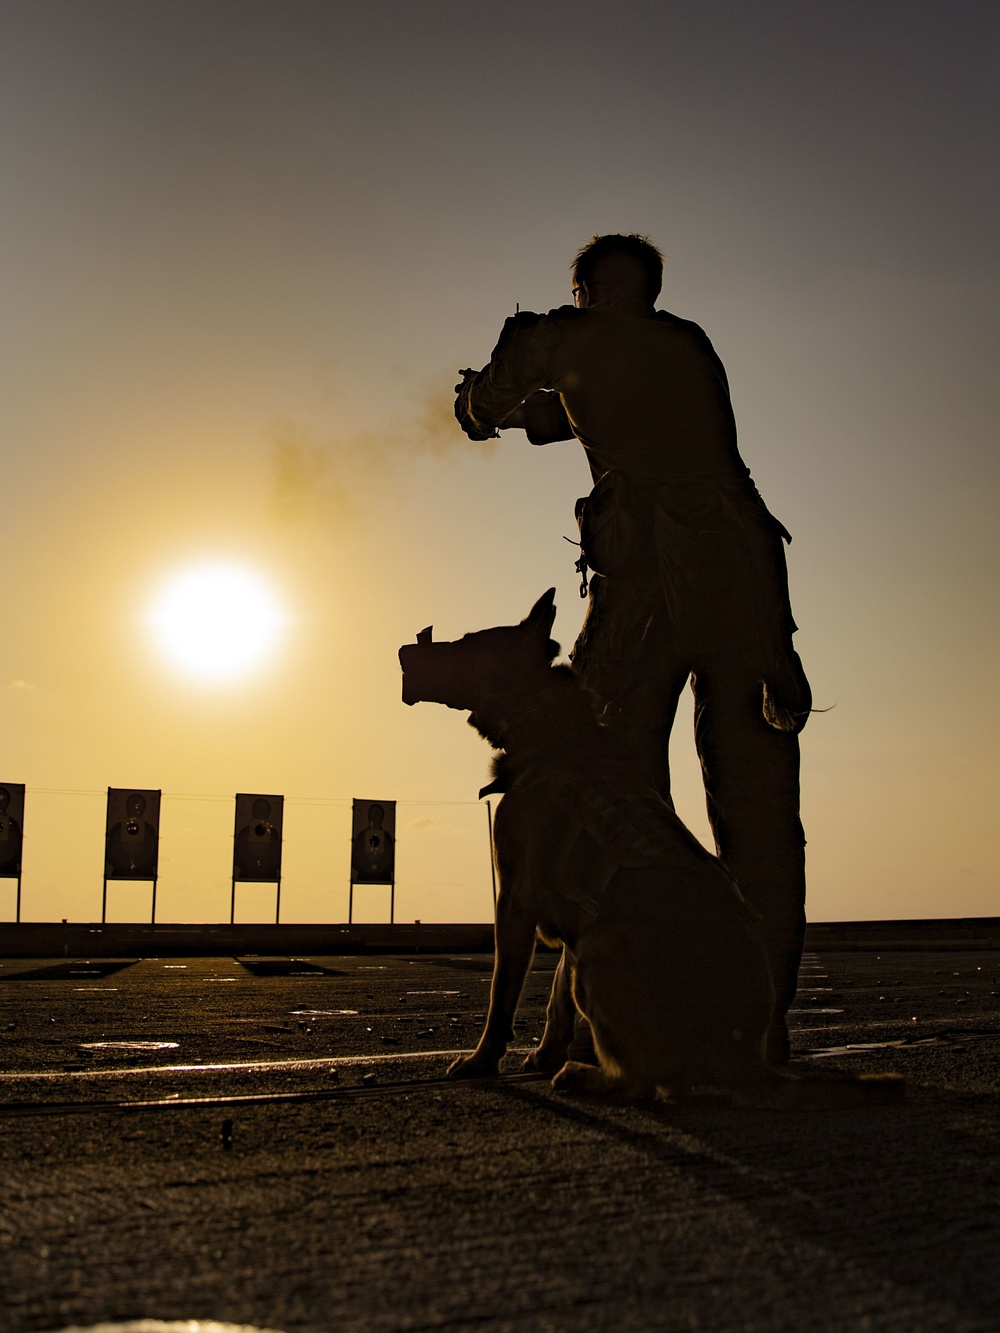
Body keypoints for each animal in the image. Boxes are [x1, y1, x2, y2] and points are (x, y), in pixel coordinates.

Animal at [402, 589, 906, 1109]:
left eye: (467, 644)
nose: (404, 652)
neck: (545, 722)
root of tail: (746, 1059)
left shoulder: (515, 900)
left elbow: (501, 996)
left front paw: (481, 1062)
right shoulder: (574, 916)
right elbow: (558, 996)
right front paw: (544, 1054)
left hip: (600, 945)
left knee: (646, 1083)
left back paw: (584, 1076)